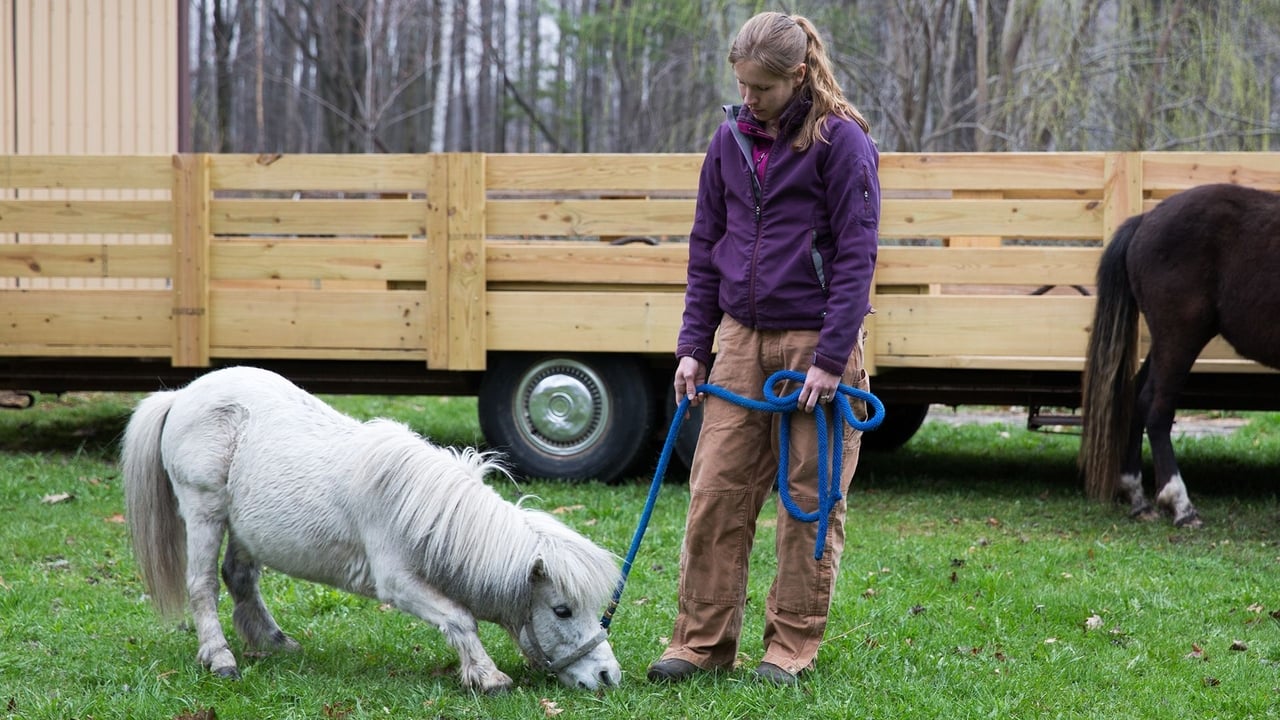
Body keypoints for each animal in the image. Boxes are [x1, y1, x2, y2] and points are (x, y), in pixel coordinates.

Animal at [122, 363, 622, 691]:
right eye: (562, 610)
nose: (608, 676)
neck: (426, 512)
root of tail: (181, 394)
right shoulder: (397, 583)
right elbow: (460, 618)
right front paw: (488, 677)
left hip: (244, 527)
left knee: (240, 578)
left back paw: (276, 643)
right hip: (204, 512)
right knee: (203, 585)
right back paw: (220, 658)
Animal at [1080, 181, 1280, 525]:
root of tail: (1146, 220)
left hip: (1167, 342)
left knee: (1139, 395)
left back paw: (1138, 497)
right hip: (1180, 337)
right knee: (1157, 409)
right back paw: (1180, 504)